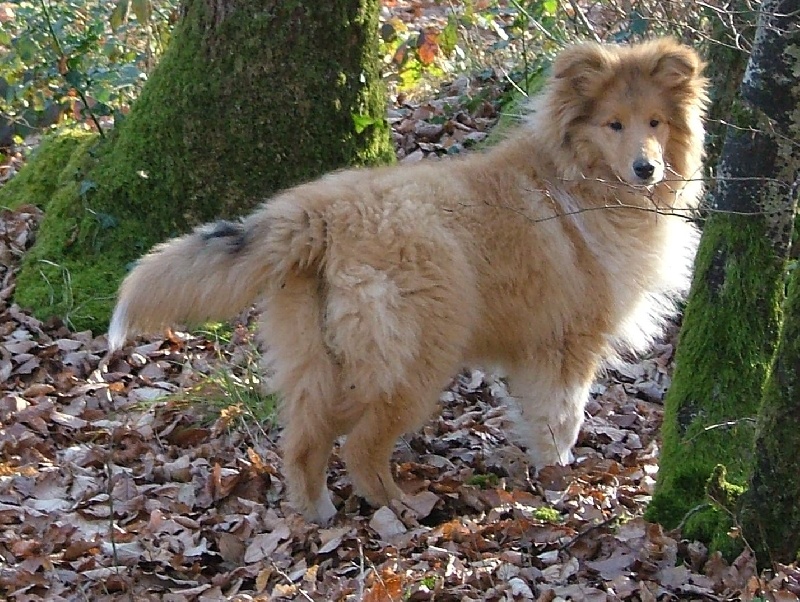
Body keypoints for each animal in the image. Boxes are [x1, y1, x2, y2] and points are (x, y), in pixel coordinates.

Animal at [109, 39, 708, 524]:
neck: (576, 179)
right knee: (361, 447)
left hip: (318, 357)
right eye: (614, 124)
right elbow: (562, 420)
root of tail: (319, 214)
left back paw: (318, 513)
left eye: (655, 122)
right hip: (415, 357)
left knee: (302, 442)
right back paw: (398, 508)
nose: (647, 169)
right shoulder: (567, 343)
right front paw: (560, 482)